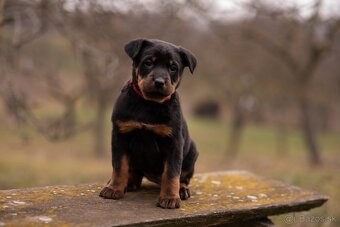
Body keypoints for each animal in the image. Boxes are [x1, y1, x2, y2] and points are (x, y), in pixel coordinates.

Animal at [99, 38, 198, 209]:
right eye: (148, 63)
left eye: (173, 68)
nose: (159, 82)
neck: (149, 103)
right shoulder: (120, 135)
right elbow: (119, 166)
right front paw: (114, 188)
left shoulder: (174, 142)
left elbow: (172, 172)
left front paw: (170, 197)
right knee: (133, 172)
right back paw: (128, 182)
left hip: (192, 152)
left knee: (183, 177)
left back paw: (182, 190)